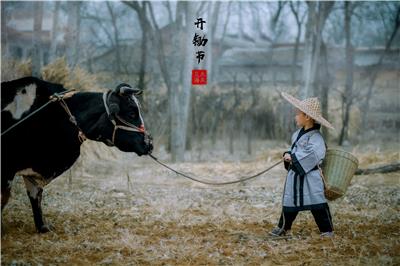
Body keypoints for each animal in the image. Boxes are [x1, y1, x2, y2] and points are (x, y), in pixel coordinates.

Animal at [1, 76, 153, 232]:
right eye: (132, 113)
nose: (148, 143)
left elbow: (35, 194)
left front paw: (42, 227)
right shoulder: (7, 170)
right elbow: (5, 199)